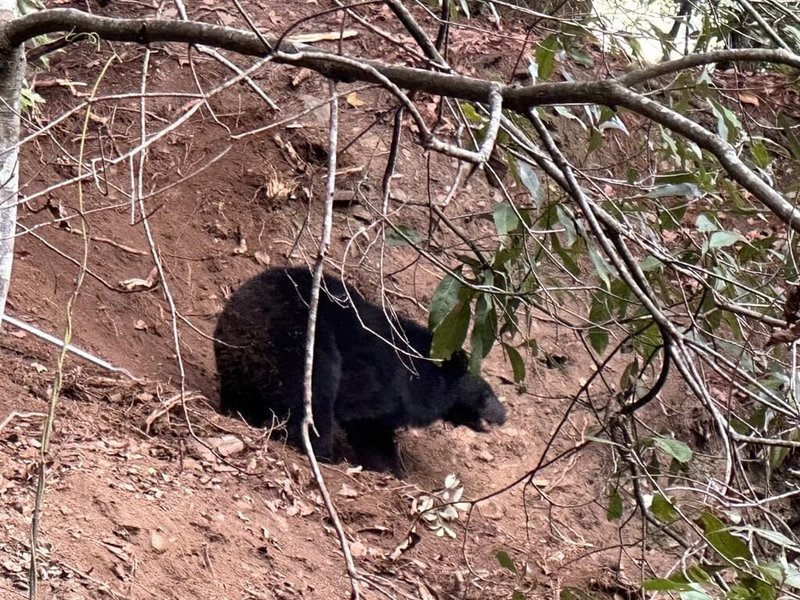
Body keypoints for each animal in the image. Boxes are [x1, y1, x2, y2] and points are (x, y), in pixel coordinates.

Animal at [212, 264, 506, 476]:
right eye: (486, 395)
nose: (505, 414)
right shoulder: (383, 384)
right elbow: (369, 427)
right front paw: (393, 470)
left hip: (236, 363)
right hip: (300, 349)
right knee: (313, 400)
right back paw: (320, 451)